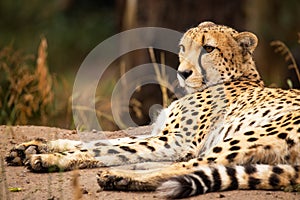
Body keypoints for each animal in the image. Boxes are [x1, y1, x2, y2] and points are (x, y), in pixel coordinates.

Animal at [5, 21, 298, 198]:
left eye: (208, 48)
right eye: (182, 48)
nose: (182, 72)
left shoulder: (177, 140)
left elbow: (109, 147)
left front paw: (49, 158)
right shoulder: (163, 134)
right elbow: (109, 142)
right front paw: (35, 146)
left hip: (247, 136)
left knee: (194, 166)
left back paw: (120, 176)